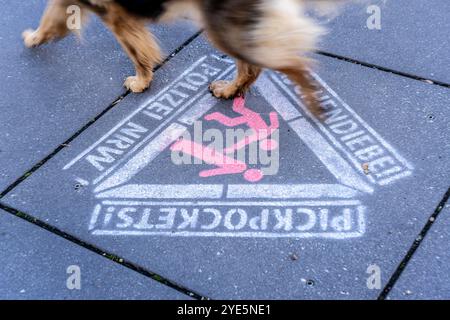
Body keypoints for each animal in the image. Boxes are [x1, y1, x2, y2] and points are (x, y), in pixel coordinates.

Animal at [22, 0, 348, 117]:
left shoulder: (116, 15)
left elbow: (137, 52)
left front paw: (141, 82)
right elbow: (50, 18)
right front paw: (35, 38)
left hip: (222, 28)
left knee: (292, 64)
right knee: (257, 66)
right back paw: (233, 91)